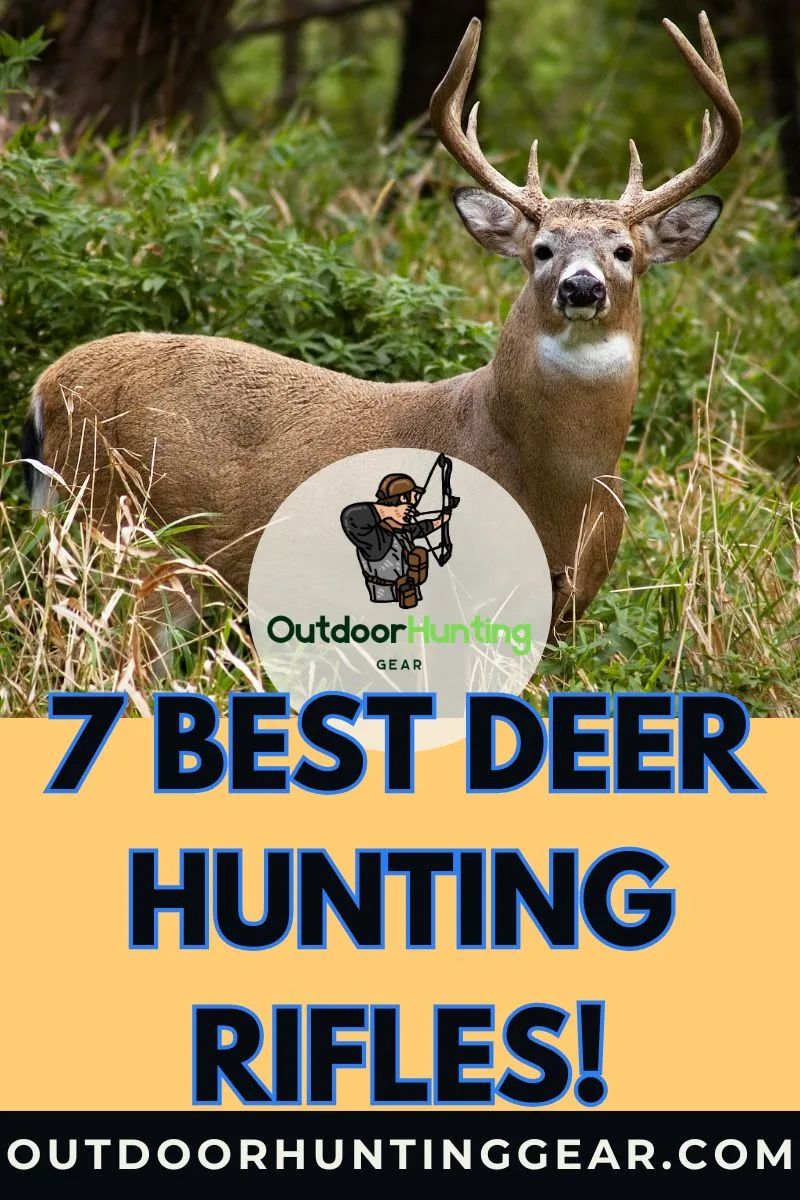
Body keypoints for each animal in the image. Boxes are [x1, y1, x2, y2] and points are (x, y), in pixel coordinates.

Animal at [22, 12, 741, 665]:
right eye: (540, 249)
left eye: (625, 251)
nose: (582, 287)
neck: (558, 487)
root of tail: (46, 386)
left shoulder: (569, 608)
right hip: (119, 534)